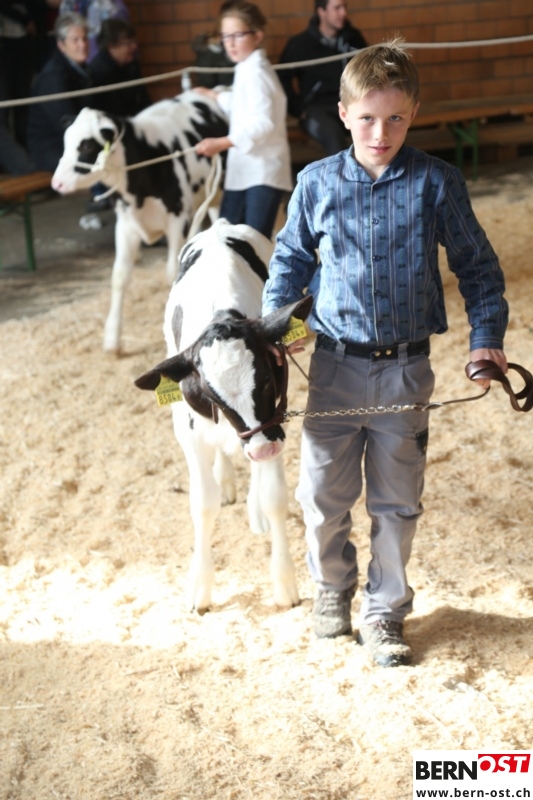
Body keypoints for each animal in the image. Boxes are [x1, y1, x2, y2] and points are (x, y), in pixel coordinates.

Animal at [51, 91, 228, 354]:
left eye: (87, 145)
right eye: (65, 140)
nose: (57, 183)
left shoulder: (178, 220)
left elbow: (171, 273)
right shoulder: (126, 225)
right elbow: (119, 277)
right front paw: (112, 338)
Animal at [134, 218, 313, 612]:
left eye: (267, 379)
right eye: (210, 393)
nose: (262, 449)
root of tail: (220, 225)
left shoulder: (274, 424)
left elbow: (275, 497)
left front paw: (284, 582)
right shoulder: (188, 430)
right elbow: (203, 504)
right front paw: (199, 587)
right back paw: (228, 478)